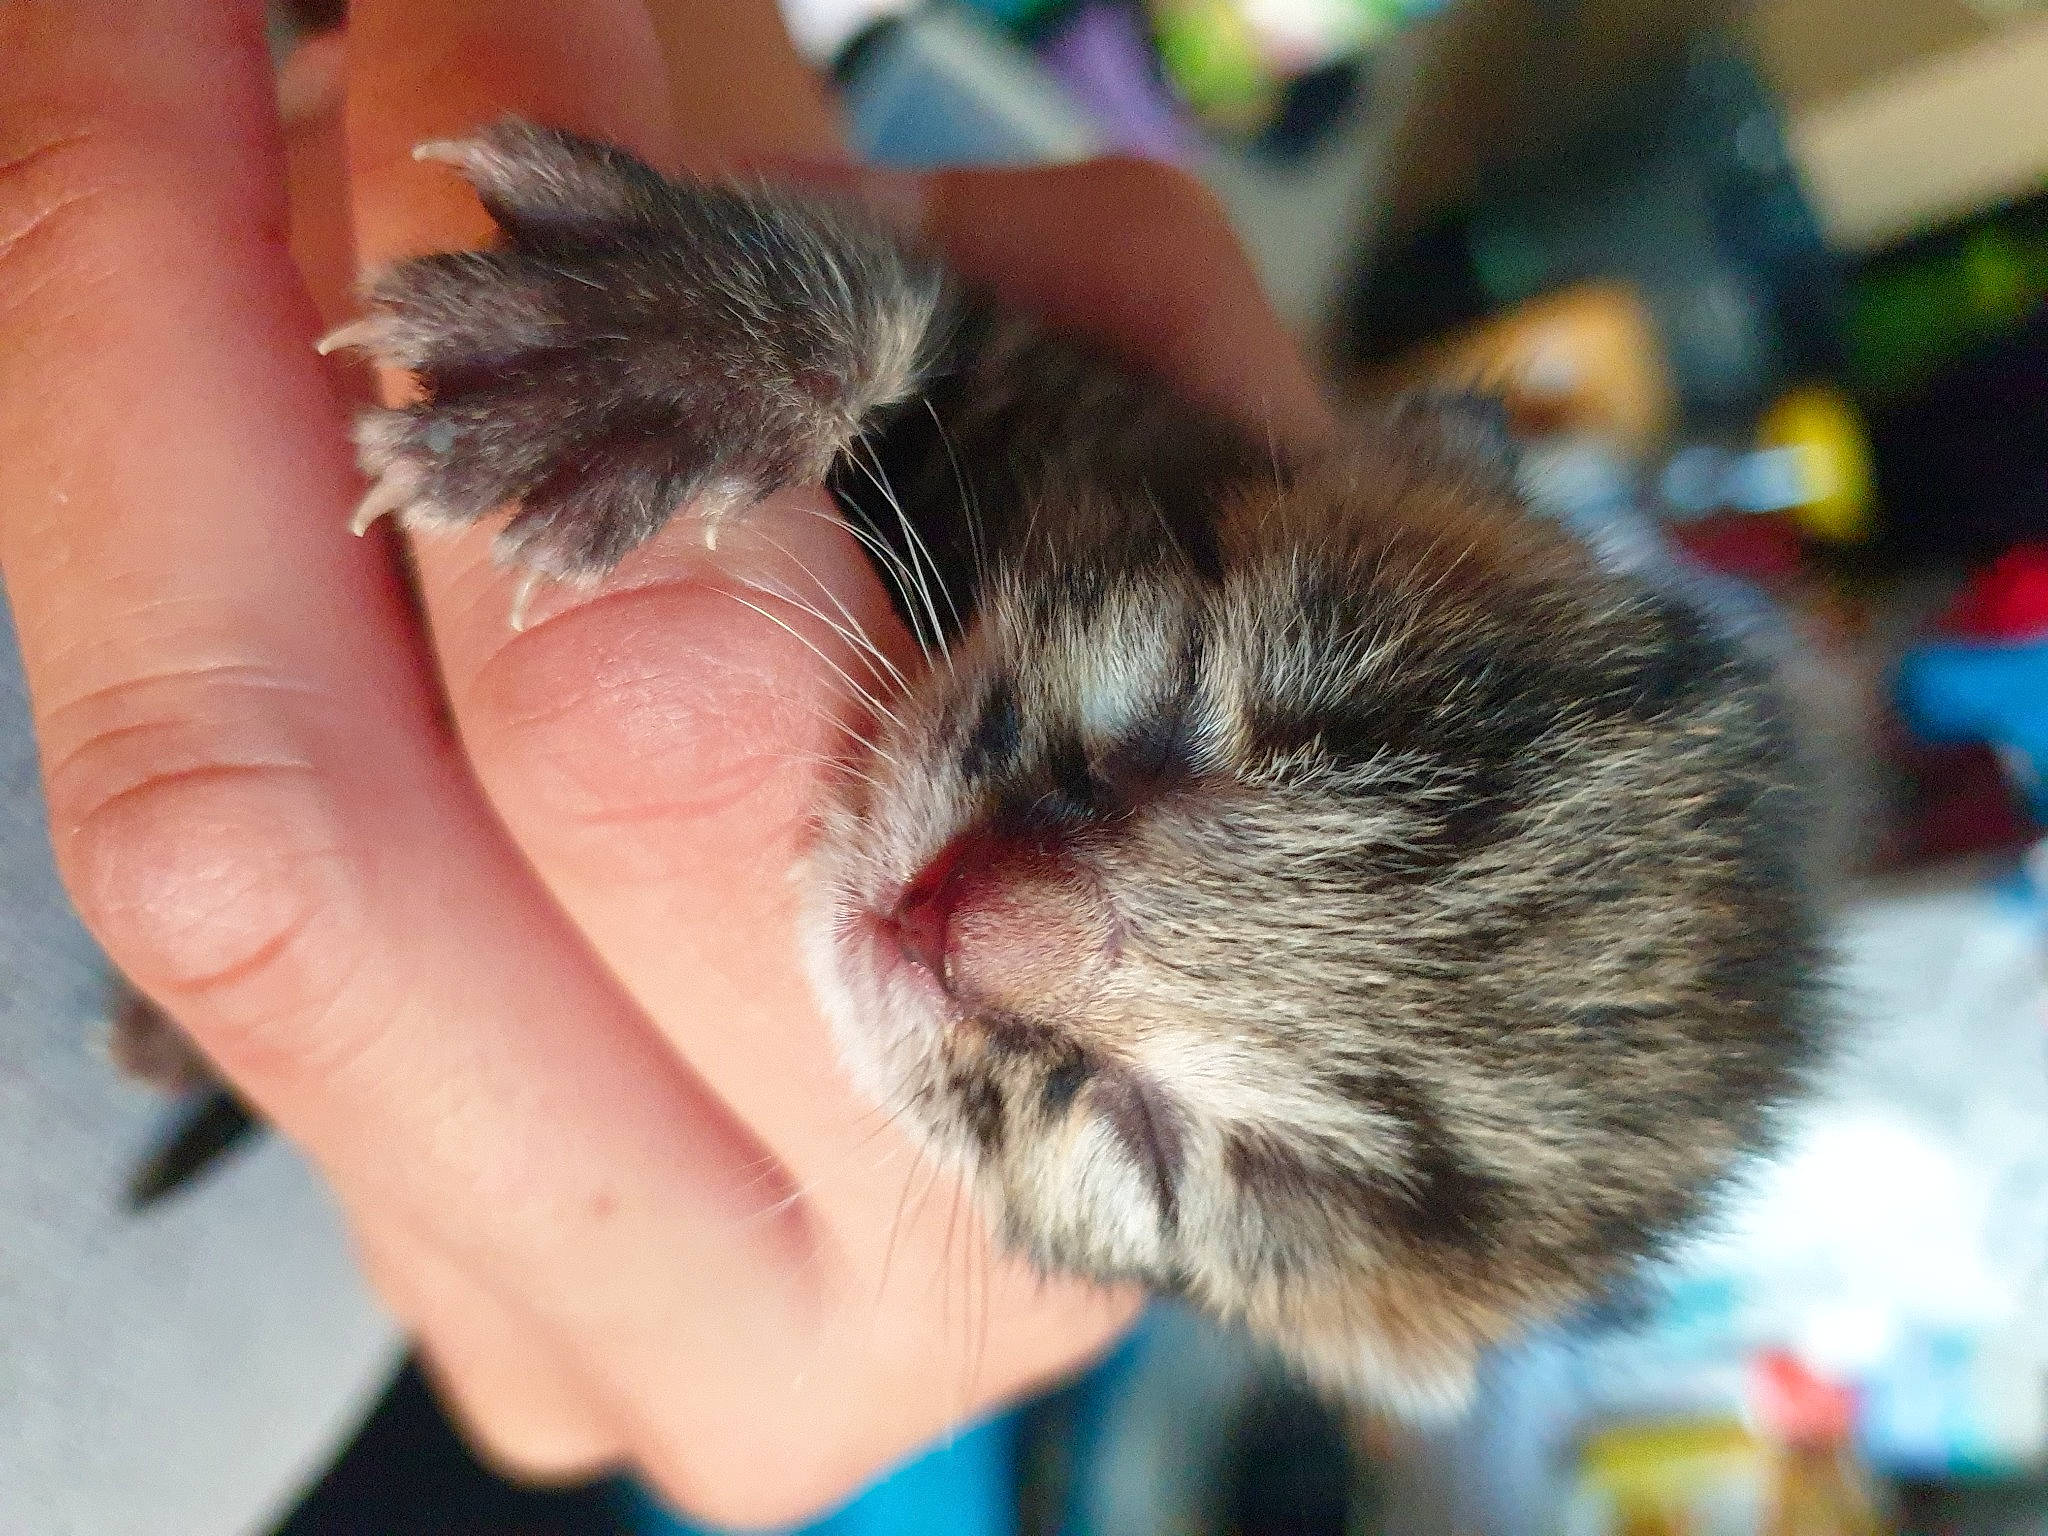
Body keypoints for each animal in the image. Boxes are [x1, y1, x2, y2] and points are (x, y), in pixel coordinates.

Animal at [326, 120, 1822, 1412]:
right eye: (1191, 716)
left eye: (1193, 1155)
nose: (945, 926)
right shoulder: (1063, 378)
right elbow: (928, 311)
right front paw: (669, 349)